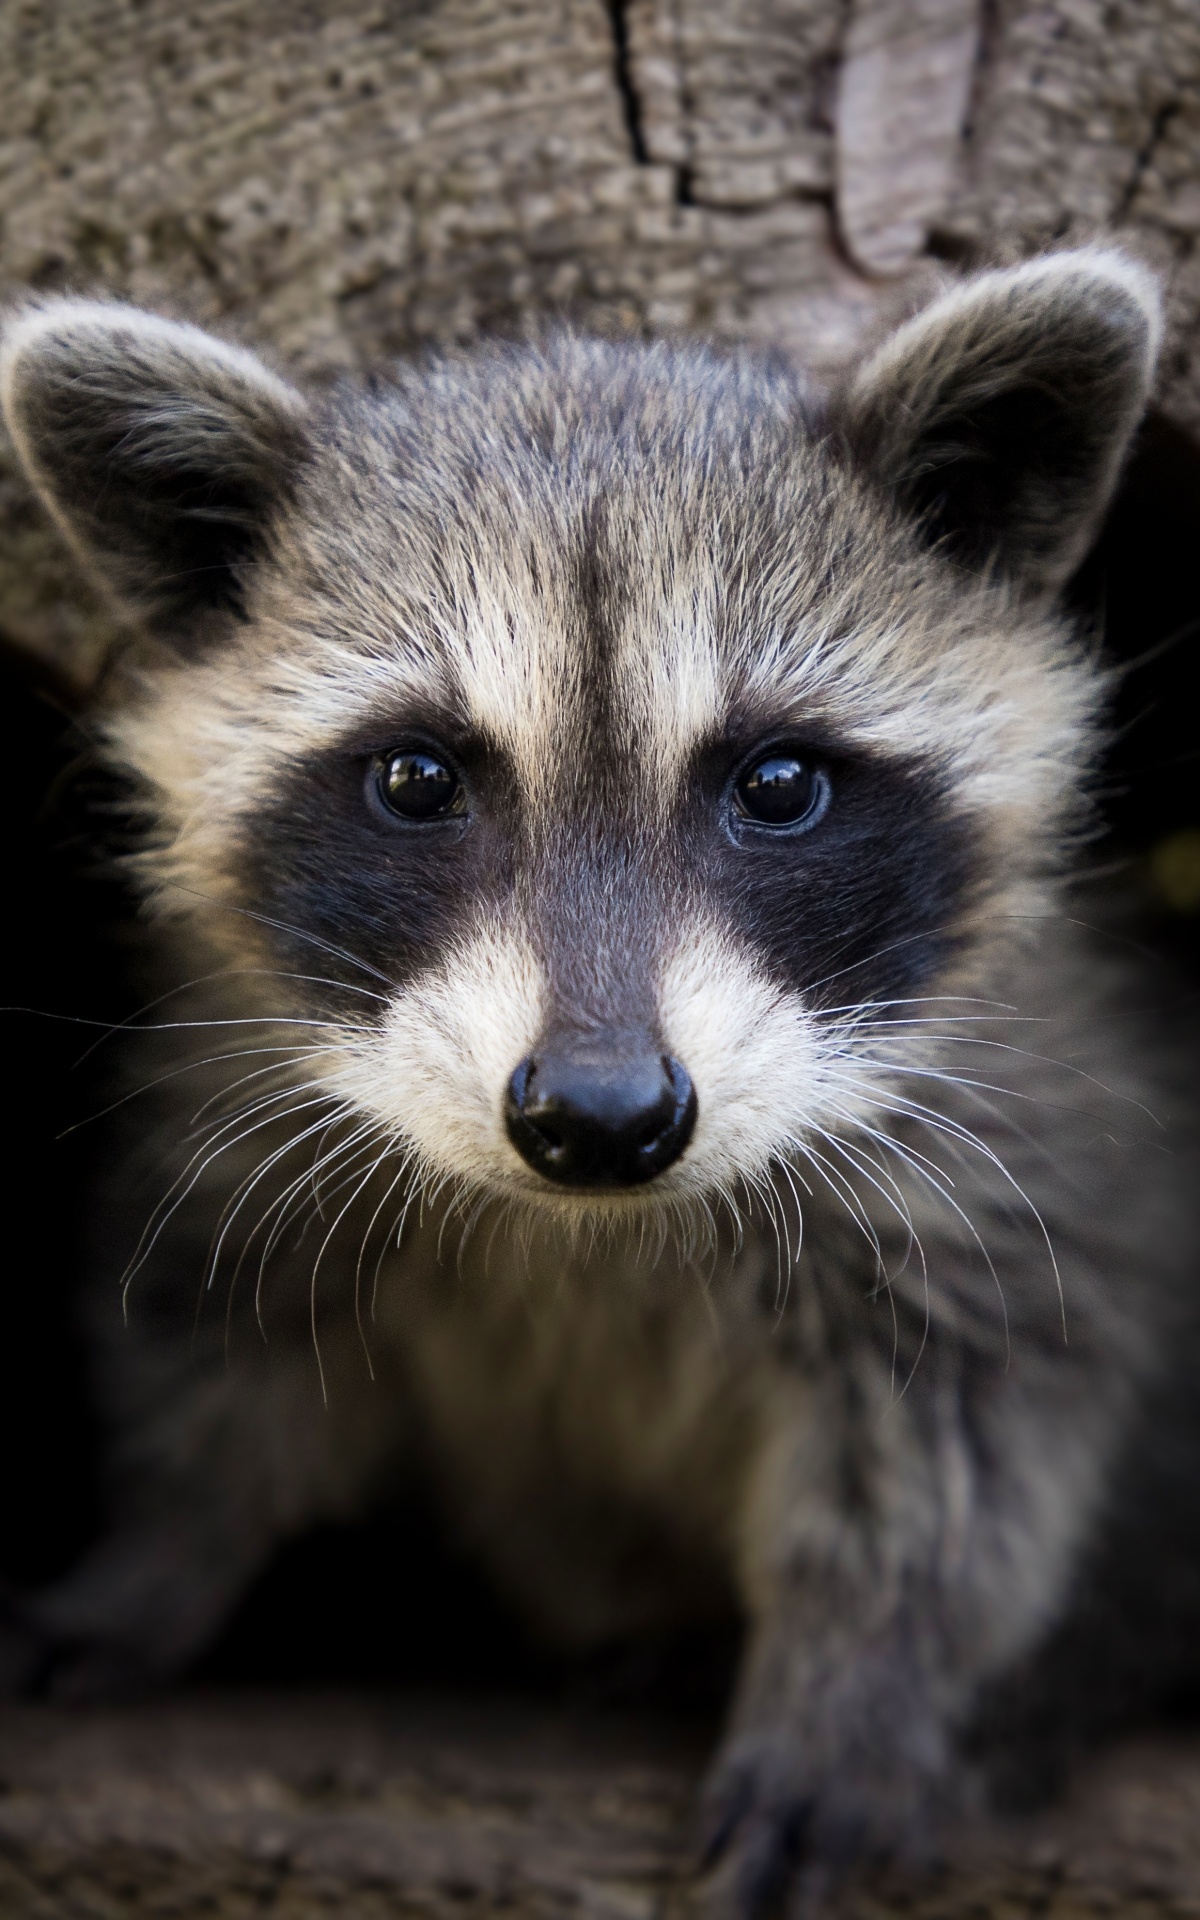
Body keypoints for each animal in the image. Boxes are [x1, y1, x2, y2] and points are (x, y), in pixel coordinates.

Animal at [2, 251, 1198, 1904]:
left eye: (778, 785)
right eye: (417, 779)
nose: (602, 1118)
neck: (595, 1225)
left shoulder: (1015, 1129)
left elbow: (969, 1438)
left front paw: (862, 1683)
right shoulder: (244, 1081)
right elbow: (221, 1344)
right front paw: (155, 1559)